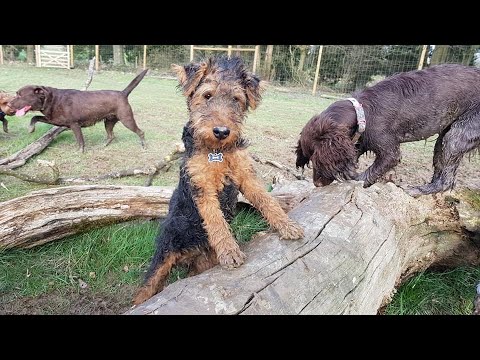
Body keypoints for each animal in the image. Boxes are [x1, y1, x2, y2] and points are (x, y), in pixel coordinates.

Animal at [7, 69, 148, 151]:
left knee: (140, 132)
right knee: (111, 135)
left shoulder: (75, 124)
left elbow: (80, 141)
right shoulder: (54, 120)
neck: (50, 99)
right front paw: (31, 129)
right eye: (16, 94)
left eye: (20, 95)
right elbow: (35, 117)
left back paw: (144, 146)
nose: (8, 104)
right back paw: (103, 145)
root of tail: (123, 93)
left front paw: (80, 152)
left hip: (126, 119)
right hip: (108, 121)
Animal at [132, 56, 304, 304]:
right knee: (147, 287)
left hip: (202, 264)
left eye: (236, 99)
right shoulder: (202, 185)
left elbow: (266, 201)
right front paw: (230, 252)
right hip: (165, 252)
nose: (222, 131)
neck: (218, 151)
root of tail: (189, 253)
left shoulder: (245, 175)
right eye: (207, 95)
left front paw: (288, 226)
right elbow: (215, 220)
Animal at [294, 63, 480, 195]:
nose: (317, 184)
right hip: (444, 138)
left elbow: (370, 173)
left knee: (446, 181)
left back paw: (418, 191)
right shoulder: (358, 142)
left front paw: (355, 178)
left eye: (319, 160)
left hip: (456, 136)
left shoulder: (389, 151)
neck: (362, 112)